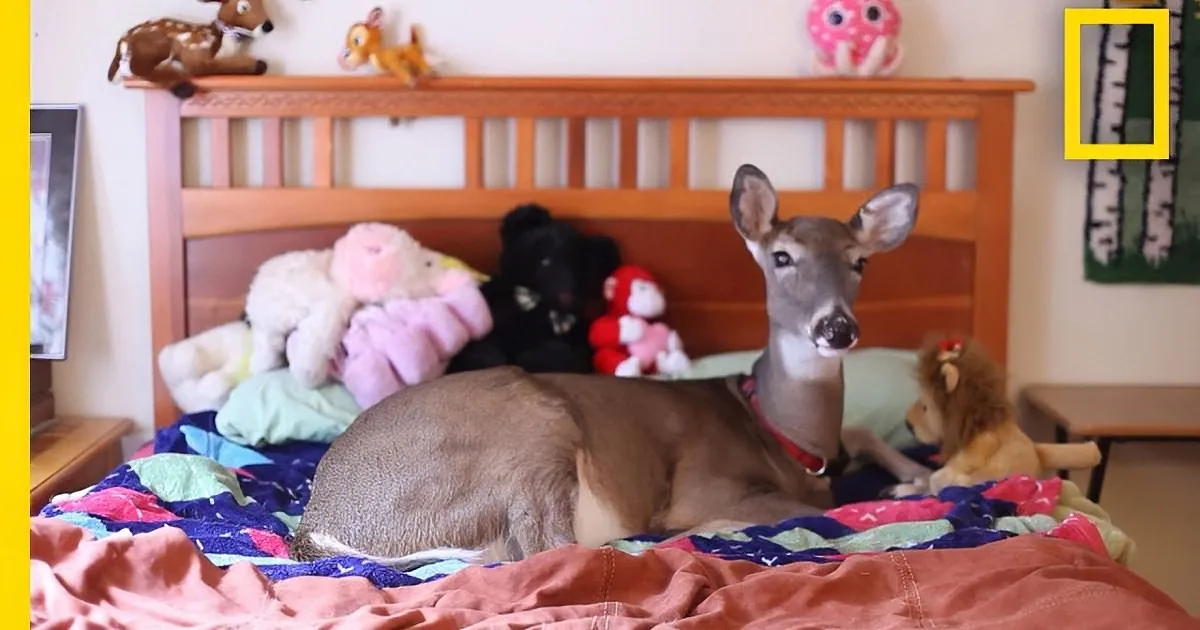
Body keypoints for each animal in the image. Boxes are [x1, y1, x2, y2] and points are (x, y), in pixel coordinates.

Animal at [290, 164, 931, 568]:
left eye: (860, 262)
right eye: (781, 257)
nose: (836, 329)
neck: (788, 438)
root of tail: (318, 525)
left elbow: (862, 436)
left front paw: (916, 475)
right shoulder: (703, 487)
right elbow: (822, 507)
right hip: (530, 424)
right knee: (549, 545)